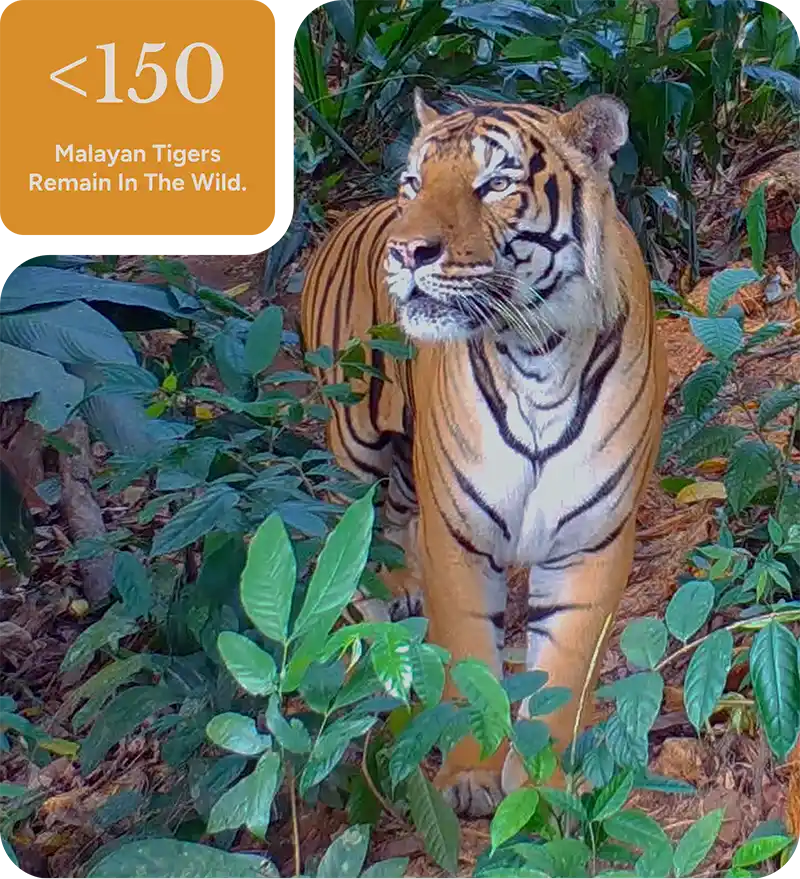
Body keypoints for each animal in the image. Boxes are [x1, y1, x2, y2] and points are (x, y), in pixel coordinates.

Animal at [300, 88, 668, 818]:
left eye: (495, 183)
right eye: (414, 182)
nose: (406, 251)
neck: (538, 355)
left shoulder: (592, 540)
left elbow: (563, 670)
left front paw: (544, 788)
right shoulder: (459, 534)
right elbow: (471, 655)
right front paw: (469, 774)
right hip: (353, 447)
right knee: (353, 543)